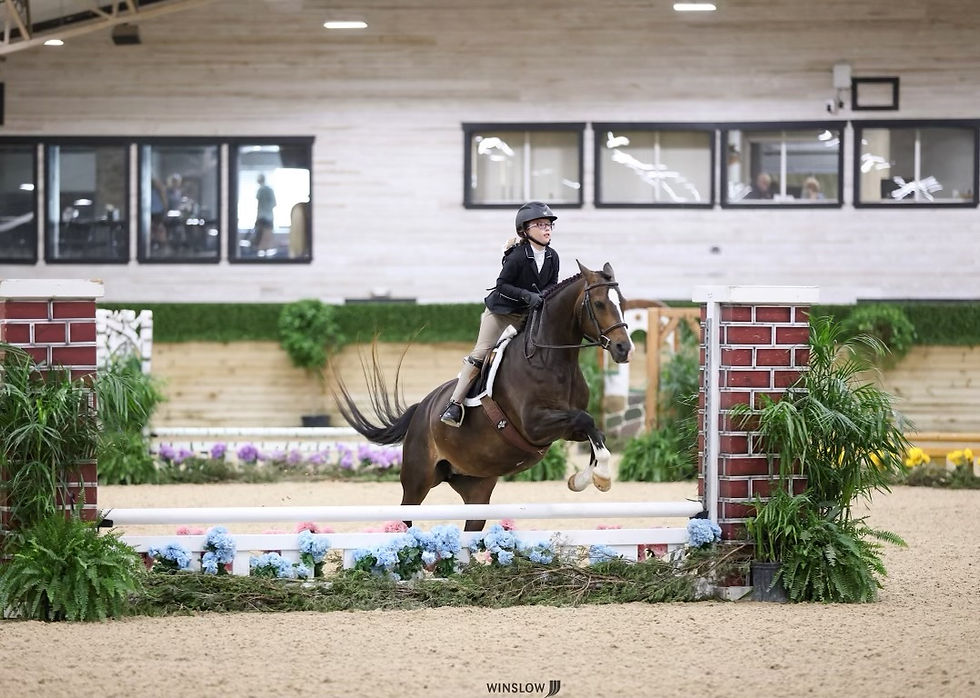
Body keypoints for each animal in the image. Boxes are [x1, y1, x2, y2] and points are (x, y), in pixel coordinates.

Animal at [334, 261, 634, 531]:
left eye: (622, 301)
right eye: (599, 304)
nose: (624, 349)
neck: (551, 360)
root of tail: (422, 408)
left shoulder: (566, 429)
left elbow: (595, 432)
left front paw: (584, 480)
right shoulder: (535, 425)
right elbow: (586, 421)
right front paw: (601, 477)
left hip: (476, 487)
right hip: (418, 479)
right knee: (405, 517)